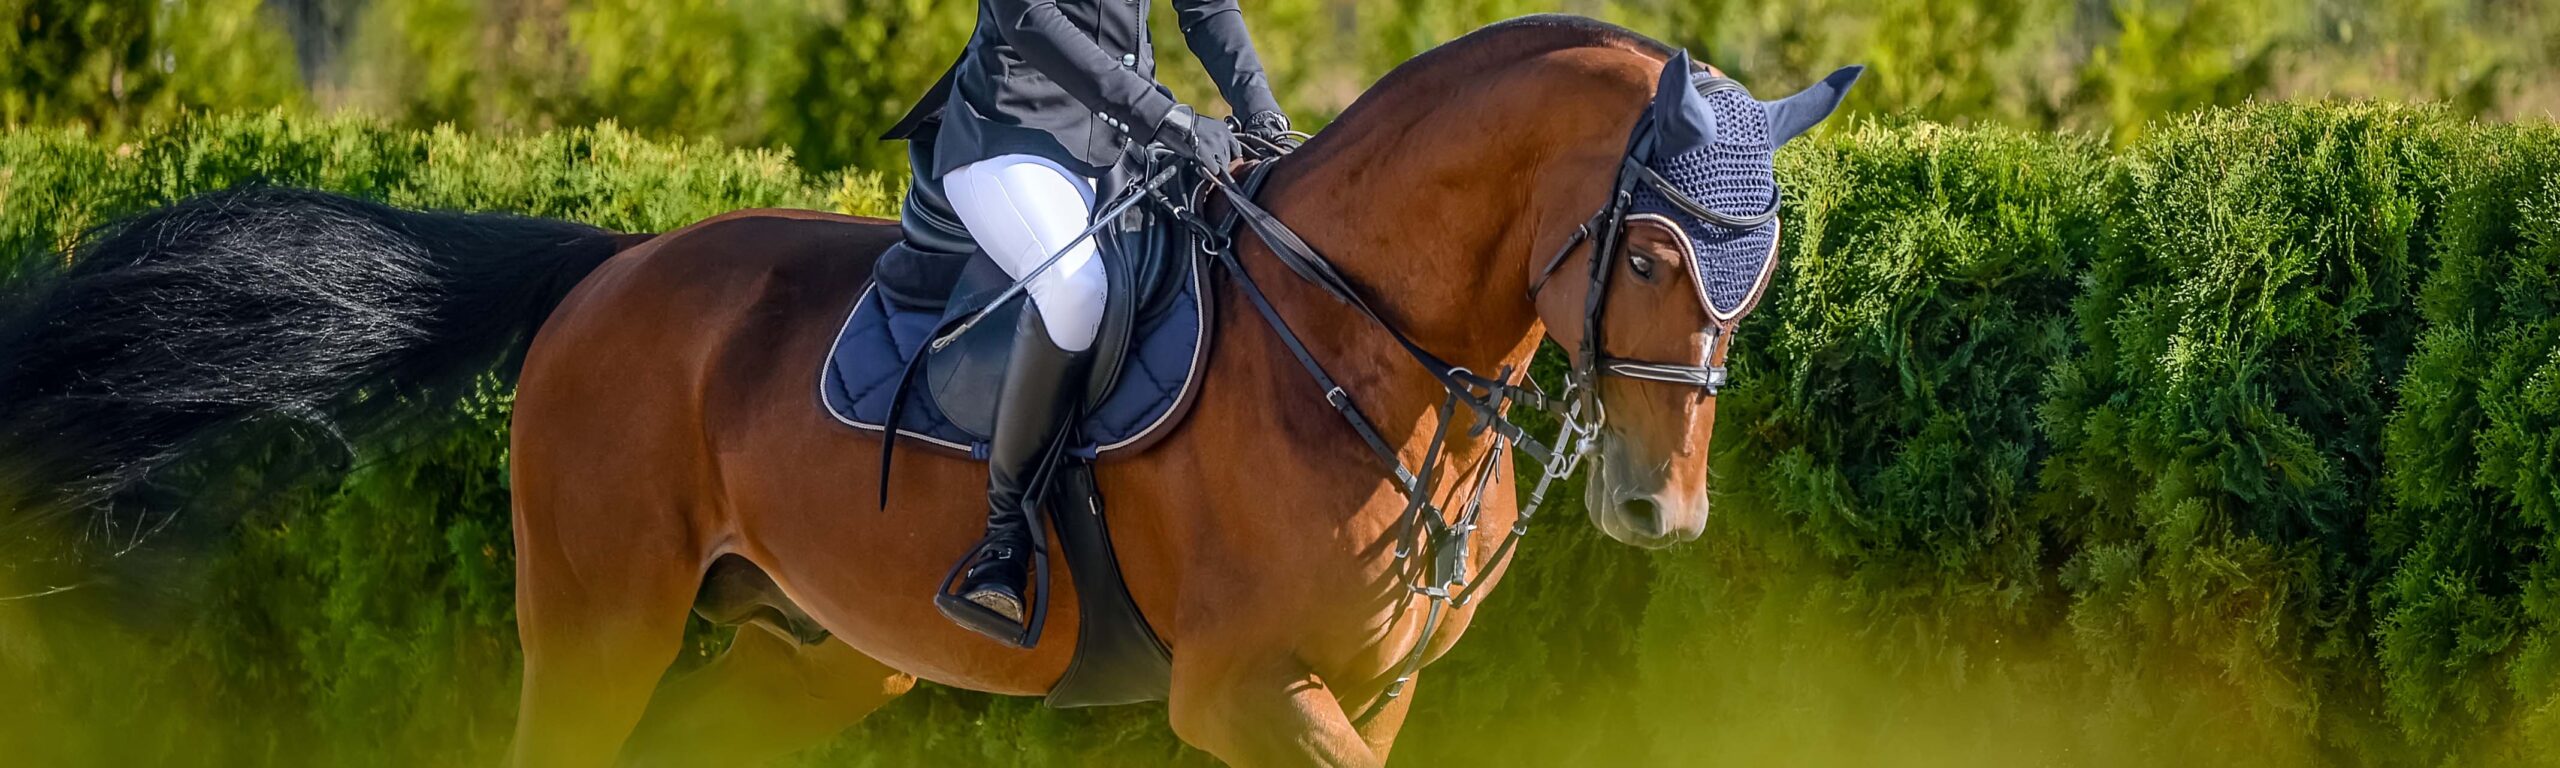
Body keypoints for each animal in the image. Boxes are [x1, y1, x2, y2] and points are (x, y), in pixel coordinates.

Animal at [0, 13, 1853, 768]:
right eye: (1653, 253)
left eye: (1756, 266)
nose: (1659, 510)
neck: (1355, 347)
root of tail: (613, 267)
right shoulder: (1243, 687)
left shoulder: (1372, 689)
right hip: (599, 615)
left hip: (821, 648)